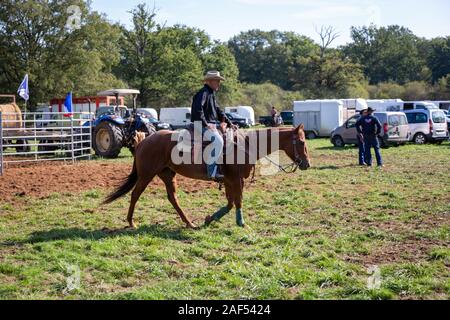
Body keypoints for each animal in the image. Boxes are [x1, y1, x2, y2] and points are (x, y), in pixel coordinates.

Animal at [103, 124, 312, 228]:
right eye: (302, 142)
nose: (307, 164)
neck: (245, 144)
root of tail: (143, 141)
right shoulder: (235, 180)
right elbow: (238, 201)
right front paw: (241, 222)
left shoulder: (228, 181)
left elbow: (230, 203)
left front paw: (210, 219)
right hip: (146, 175)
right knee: (135, 194)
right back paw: (131, 222)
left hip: (168, 175)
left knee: (172, 198)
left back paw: (189, 223)